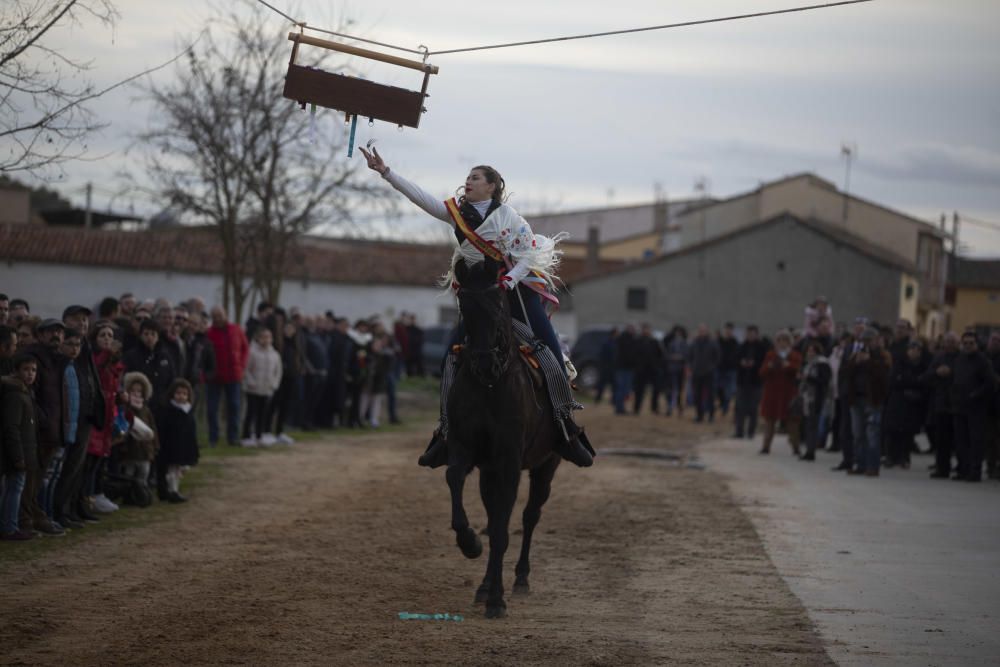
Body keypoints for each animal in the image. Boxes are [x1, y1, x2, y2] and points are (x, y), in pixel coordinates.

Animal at [446, 258, 564, 620]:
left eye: (498, 303)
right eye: (464, 306)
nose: (484, 364)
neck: (490, 386)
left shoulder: (510, 460)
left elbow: (502, 530)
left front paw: (498, 600)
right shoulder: (467, 450)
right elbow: (454, 480)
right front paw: (469, 543)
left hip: (546, 466)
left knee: (528, 517)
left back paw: (520, 579)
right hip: (490, 471)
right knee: (497, 512)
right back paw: (484, 585)